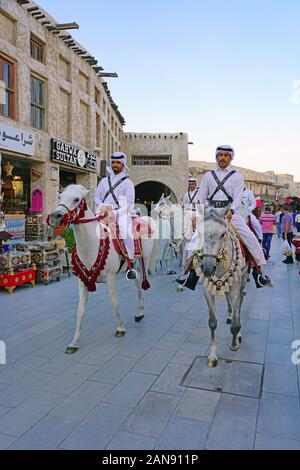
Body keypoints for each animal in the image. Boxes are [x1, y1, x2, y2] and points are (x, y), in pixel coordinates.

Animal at [48, 185, 158, 352]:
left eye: (76, 199)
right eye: (60, 196)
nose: (55, 216)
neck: (91, 245)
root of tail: (144, 218)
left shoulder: (111, 278)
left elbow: (114, 303)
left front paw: (120, 328)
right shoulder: (82, 281)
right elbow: (80, 311)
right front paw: (74, 342)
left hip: (144, 258)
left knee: (141, 283)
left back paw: (139, 312)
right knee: (138, 282)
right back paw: (139, 312)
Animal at [195, 208, 248, 368]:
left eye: (223, 234)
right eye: (198, 233)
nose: (207, 268)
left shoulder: (236, 288)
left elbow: (235, 325)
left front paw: (234, 343)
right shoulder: (207, 290)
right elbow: (212, 323)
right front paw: (212, 356)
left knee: (240, 304)